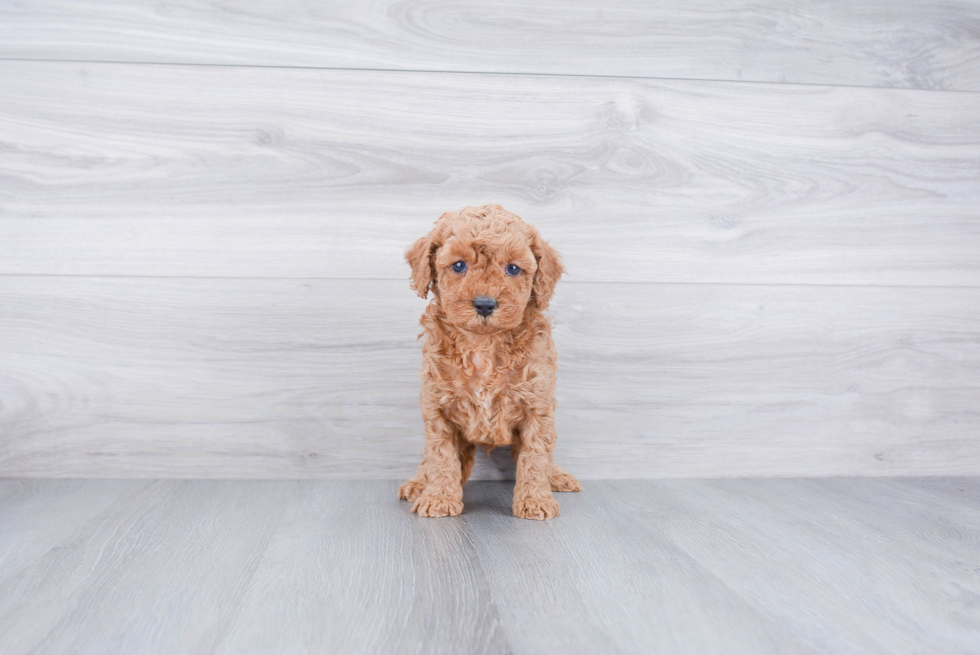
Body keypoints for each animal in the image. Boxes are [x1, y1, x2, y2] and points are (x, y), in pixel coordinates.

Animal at [398, 205, 580, 524]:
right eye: (459, 265)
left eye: (513, 269)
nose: (484, 304)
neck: (483, 344)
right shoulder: (438, 407)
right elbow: (440, 456)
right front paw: (438, 497)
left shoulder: (538, 405)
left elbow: (536, 455)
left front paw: (535, 500)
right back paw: (419, 483)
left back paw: (556, 477)